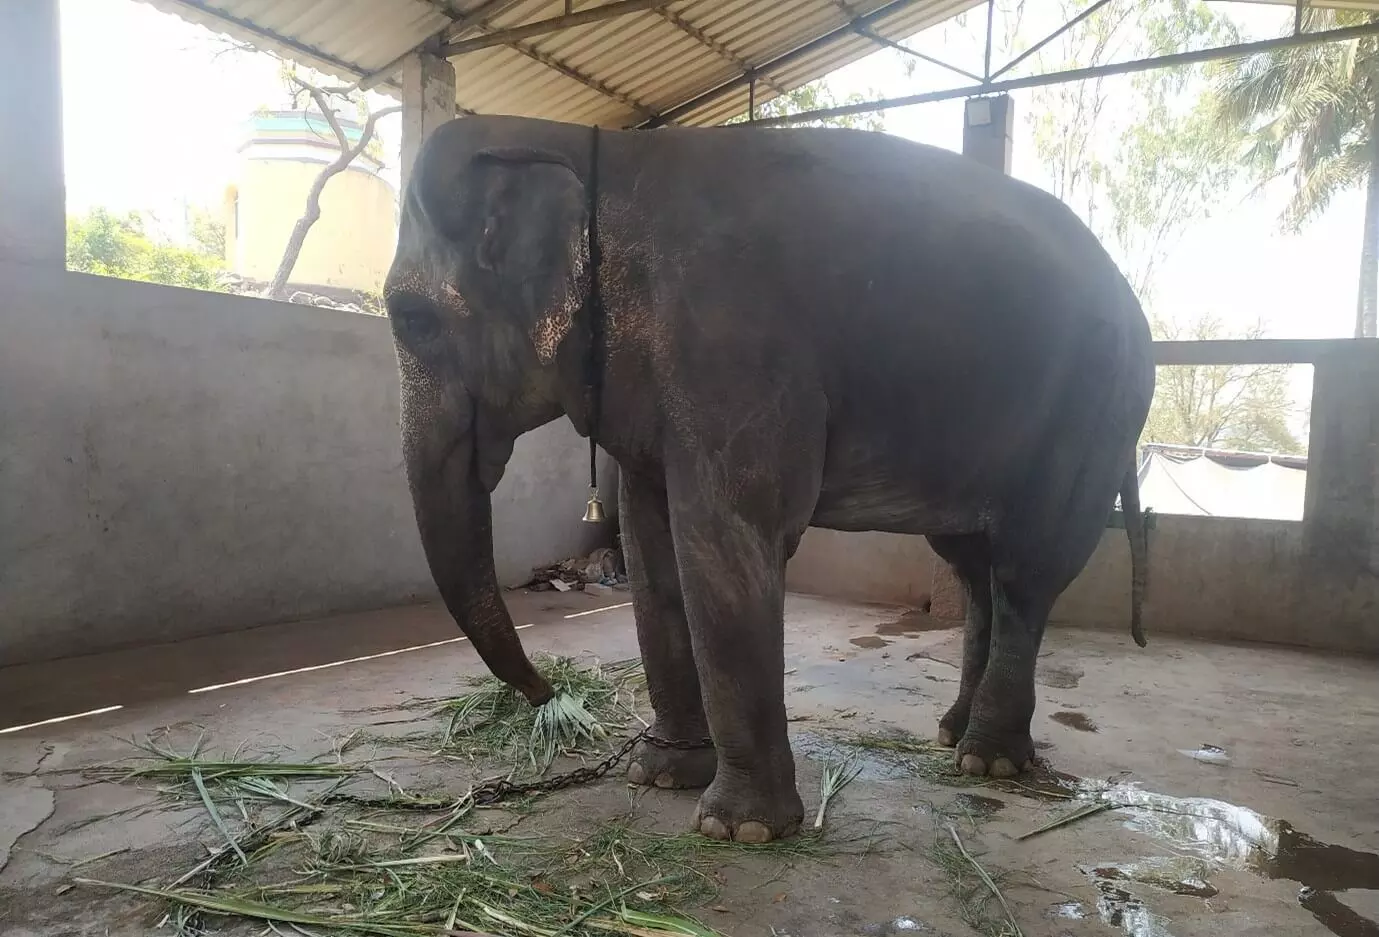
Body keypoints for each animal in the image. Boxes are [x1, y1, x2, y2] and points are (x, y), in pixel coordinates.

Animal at [384, 114, 1154, 845]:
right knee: (972, 566)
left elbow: (727, 540)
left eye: (411, 320)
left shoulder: (733, 349)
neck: (592, 152)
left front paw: (740, 829)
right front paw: (660, 775)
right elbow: (650, 547)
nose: (548, 694)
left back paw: (986, 761)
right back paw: (952, 734)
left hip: (1095, 406)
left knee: (1027, 568)